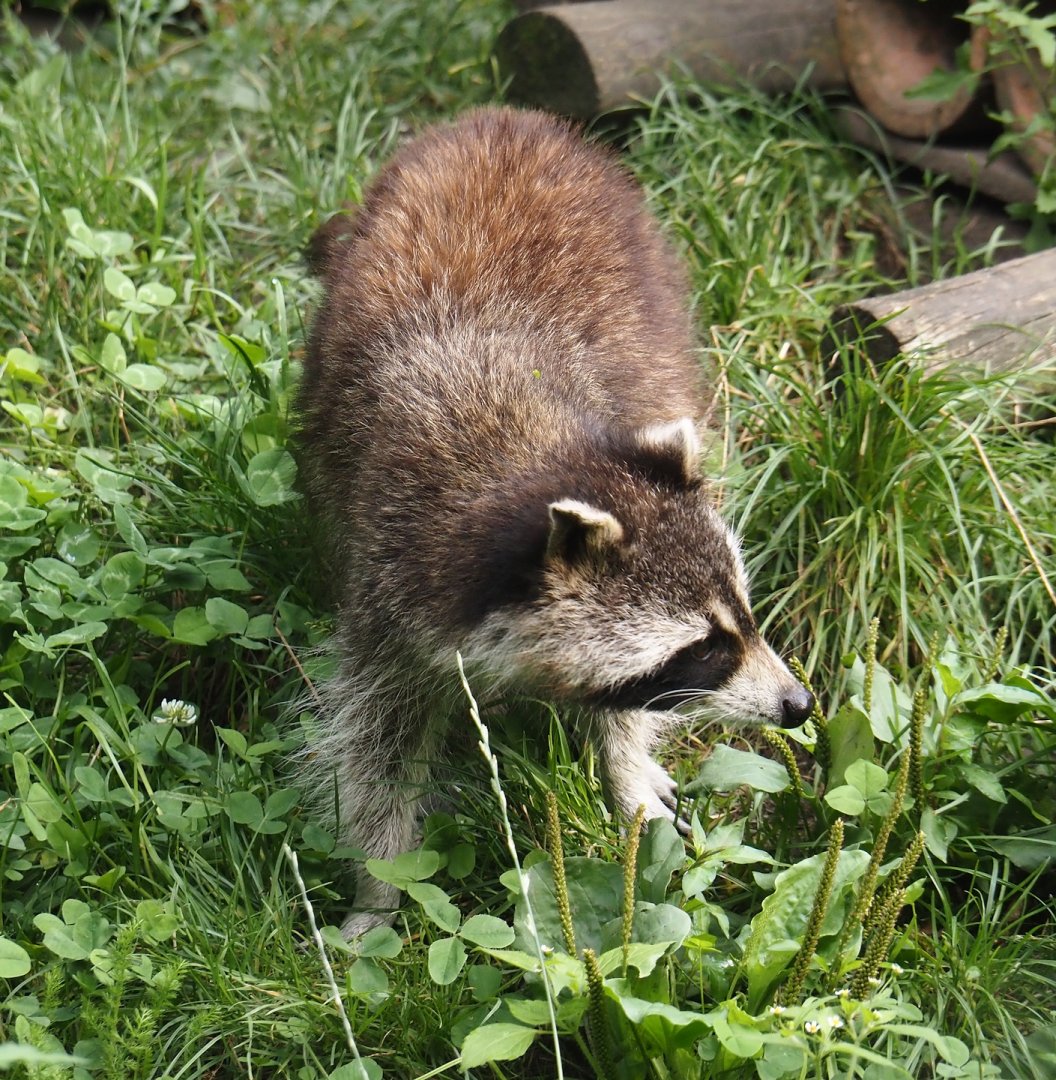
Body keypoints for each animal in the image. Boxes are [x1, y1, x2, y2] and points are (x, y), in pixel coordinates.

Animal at [298, 107, 813, 938]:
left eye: (745, 613)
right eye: (704, 648)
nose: (798, 706)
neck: (526, 459)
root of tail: (506, 116)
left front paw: (624, 764)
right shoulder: (389, 593)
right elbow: (375, 743)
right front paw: (379, 883)